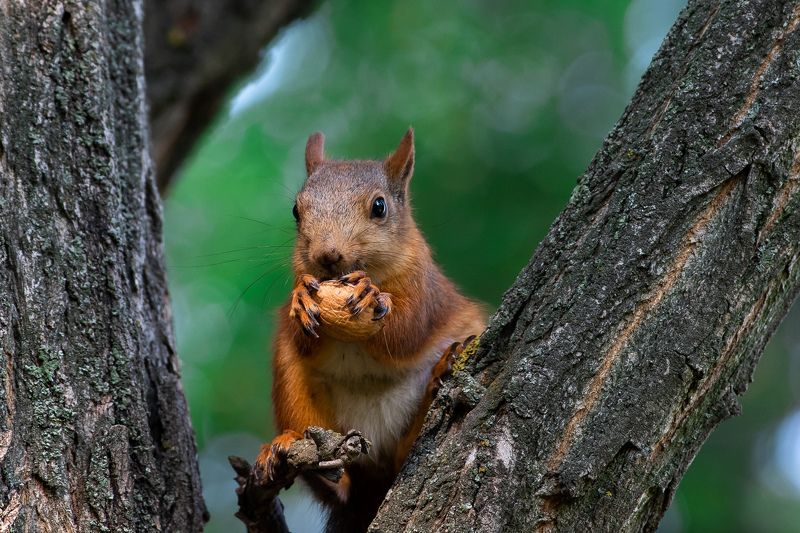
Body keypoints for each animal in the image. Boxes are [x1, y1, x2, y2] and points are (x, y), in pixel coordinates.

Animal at [255, 128, 486, 532]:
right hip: (295, 393)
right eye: (296, 211)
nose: (327, 255)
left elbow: (407, 331)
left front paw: (368, 294)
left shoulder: (424, 289)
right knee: (335, 478)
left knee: (403, 458)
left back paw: (441, 374)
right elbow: (303, 337)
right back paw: (292, 456)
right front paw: (301, 299)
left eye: (380, 207)